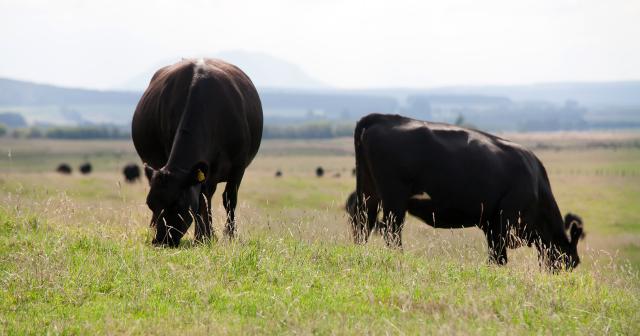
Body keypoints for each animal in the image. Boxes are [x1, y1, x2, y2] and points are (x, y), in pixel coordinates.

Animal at [132, 57, 262, 247]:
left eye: (177, 205)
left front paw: (228, 235)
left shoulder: (238, 166)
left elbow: (229, 199)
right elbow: (202, 201)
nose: (160, 241)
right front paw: (203, 236)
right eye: (150, 204)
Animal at [356, 114, 584, 272]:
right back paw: (399, 258)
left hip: (370, 194)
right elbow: (499, 257)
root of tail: (381, 117)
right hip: (394, 198)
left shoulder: (490, 224)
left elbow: (496, 256)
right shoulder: (503, 222)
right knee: (391, 232)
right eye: (567, 262)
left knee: (363, 224)